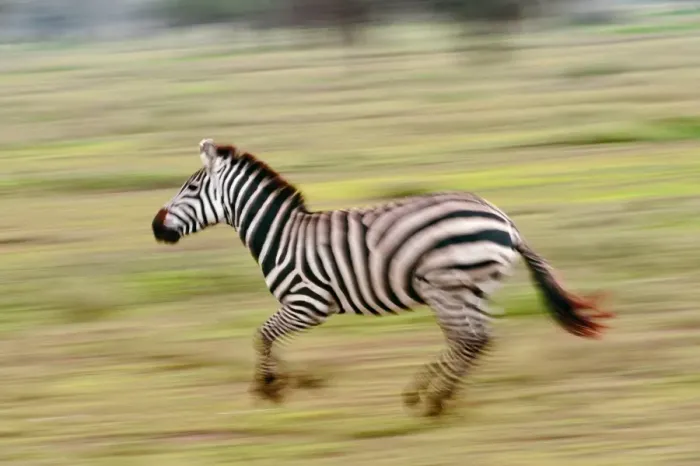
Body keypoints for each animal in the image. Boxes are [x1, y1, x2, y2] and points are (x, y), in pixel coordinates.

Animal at [151, 139, 613, 416]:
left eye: (190, 187)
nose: (156, 227)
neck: (282, 235)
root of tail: (506, 222)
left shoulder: (308, 303)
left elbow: (261, 336)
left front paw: (270, 387)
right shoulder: (301, 309)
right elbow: (268, 339)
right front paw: (294, 381)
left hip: (447, 286)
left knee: (468, 340)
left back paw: (433, 400)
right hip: (472, 287)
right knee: (475, 340)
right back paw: (428, 395)